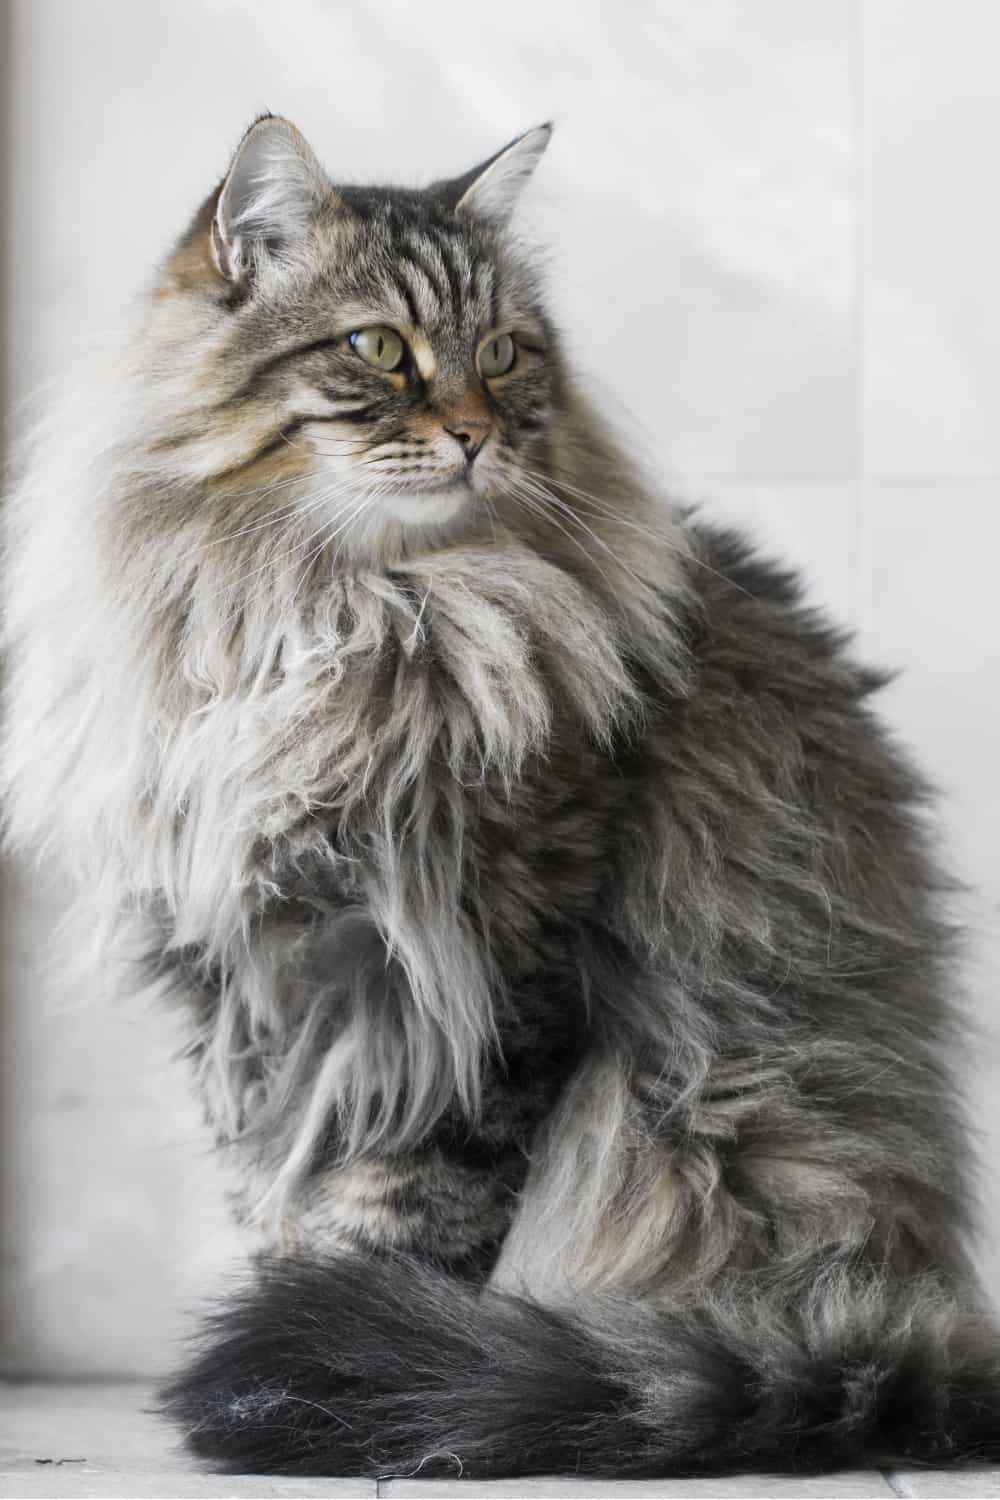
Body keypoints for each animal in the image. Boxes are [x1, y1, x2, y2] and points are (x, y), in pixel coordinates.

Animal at [3, 117, 995, 1476]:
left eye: (504, 354)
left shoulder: (484, 974)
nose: (476, 431)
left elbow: (410, 1212)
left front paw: (337, 1361)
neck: (339, 617)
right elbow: (271, 1188)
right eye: (378, 347)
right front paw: (280, 1353)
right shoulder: (241, 980)